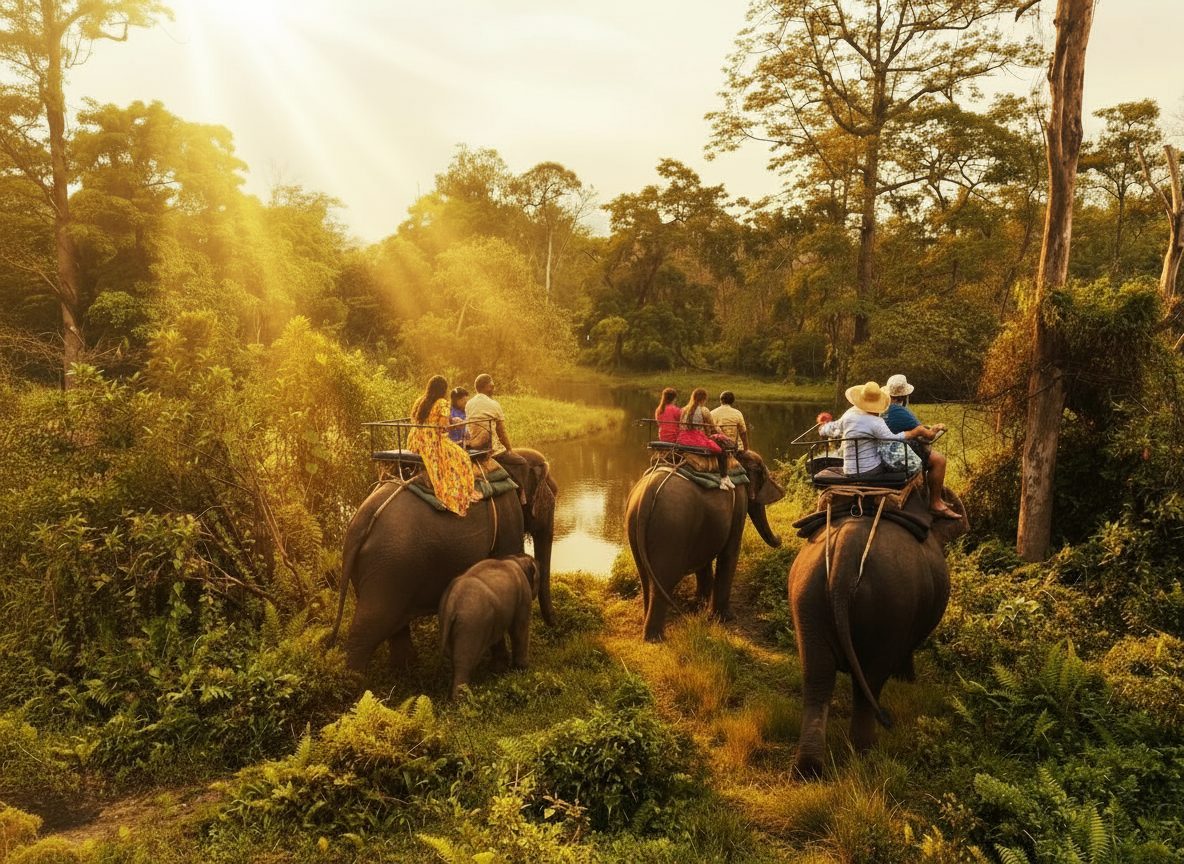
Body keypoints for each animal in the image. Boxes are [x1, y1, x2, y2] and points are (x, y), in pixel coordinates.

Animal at [327, 448, 558, 674]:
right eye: (553, 494)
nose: (555, 625)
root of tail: (359, 524)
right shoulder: (509, 519)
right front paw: (501, 668)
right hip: (387, 570)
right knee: (367, 632)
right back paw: (357, 682)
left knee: (395, 629)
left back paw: (406, 671)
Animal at [438, 553, 538, 699]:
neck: (515, 559)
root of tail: (451, 603)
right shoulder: (524, 595)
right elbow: (519, 628)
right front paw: (523, 670)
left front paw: (501, 670)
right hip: (471, 625)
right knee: (463, 663)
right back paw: (461, 700)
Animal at [625, 449, 785, 642]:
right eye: (763, 476)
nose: (781, 538)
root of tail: (647, 495)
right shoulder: (739, 500)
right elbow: (730, 552)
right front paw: (726, 618)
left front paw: (700, 607)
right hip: (672, 530)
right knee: (663, 581)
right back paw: (655, 638)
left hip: (634, 525)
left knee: (645, 578)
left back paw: (648, 628)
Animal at [788, 485, 969, 779]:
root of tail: (844, 559)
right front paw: (908, 681)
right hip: (892, 605)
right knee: (871, 677)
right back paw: (866, 752)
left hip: (806, 596)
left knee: (816, 675)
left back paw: (808, 770)